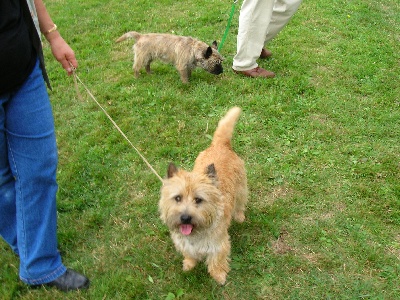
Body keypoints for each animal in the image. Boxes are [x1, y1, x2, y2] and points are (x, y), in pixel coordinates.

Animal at [159, 106, 247, 284]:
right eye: (177, 198)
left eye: (198, 200)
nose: (185, 217)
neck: (196, 233)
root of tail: (220, 144)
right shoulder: (185, 244)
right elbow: (190, 254)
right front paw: (189, 264)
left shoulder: (218, 245)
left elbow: (216, 261)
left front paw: (219, 276)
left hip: (241, 187)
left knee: (241, 202)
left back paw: (240, 216)